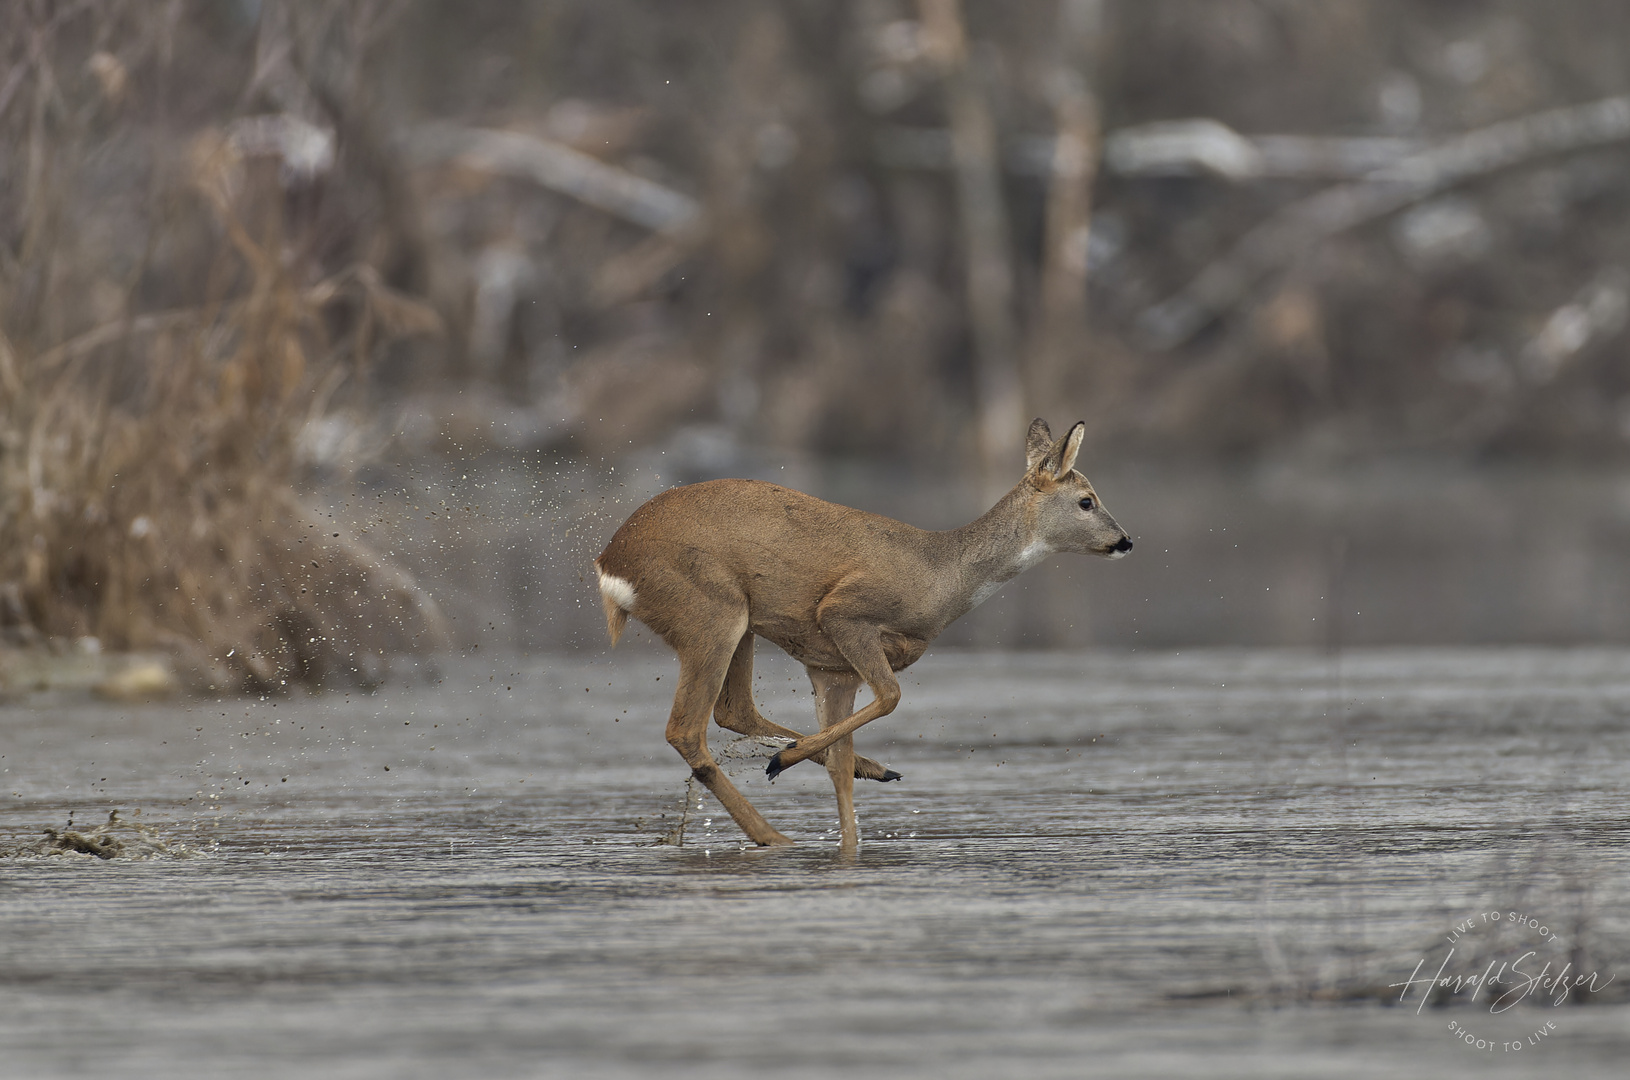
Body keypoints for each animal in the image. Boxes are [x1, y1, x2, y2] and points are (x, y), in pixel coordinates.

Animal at [590, 417, 1134, 847]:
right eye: (1086, 501)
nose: (1126, 540)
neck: (940, 577)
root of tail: (610, 565)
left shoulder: (830, 667)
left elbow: (838, 768)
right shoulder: (845, 614)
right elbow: (891, 697)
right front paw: (788, 762)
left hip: (737, 623)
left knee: (733, 710)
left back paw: (852, 772)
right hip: (711, 611)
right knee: (686, 729)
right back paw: (775, 831)